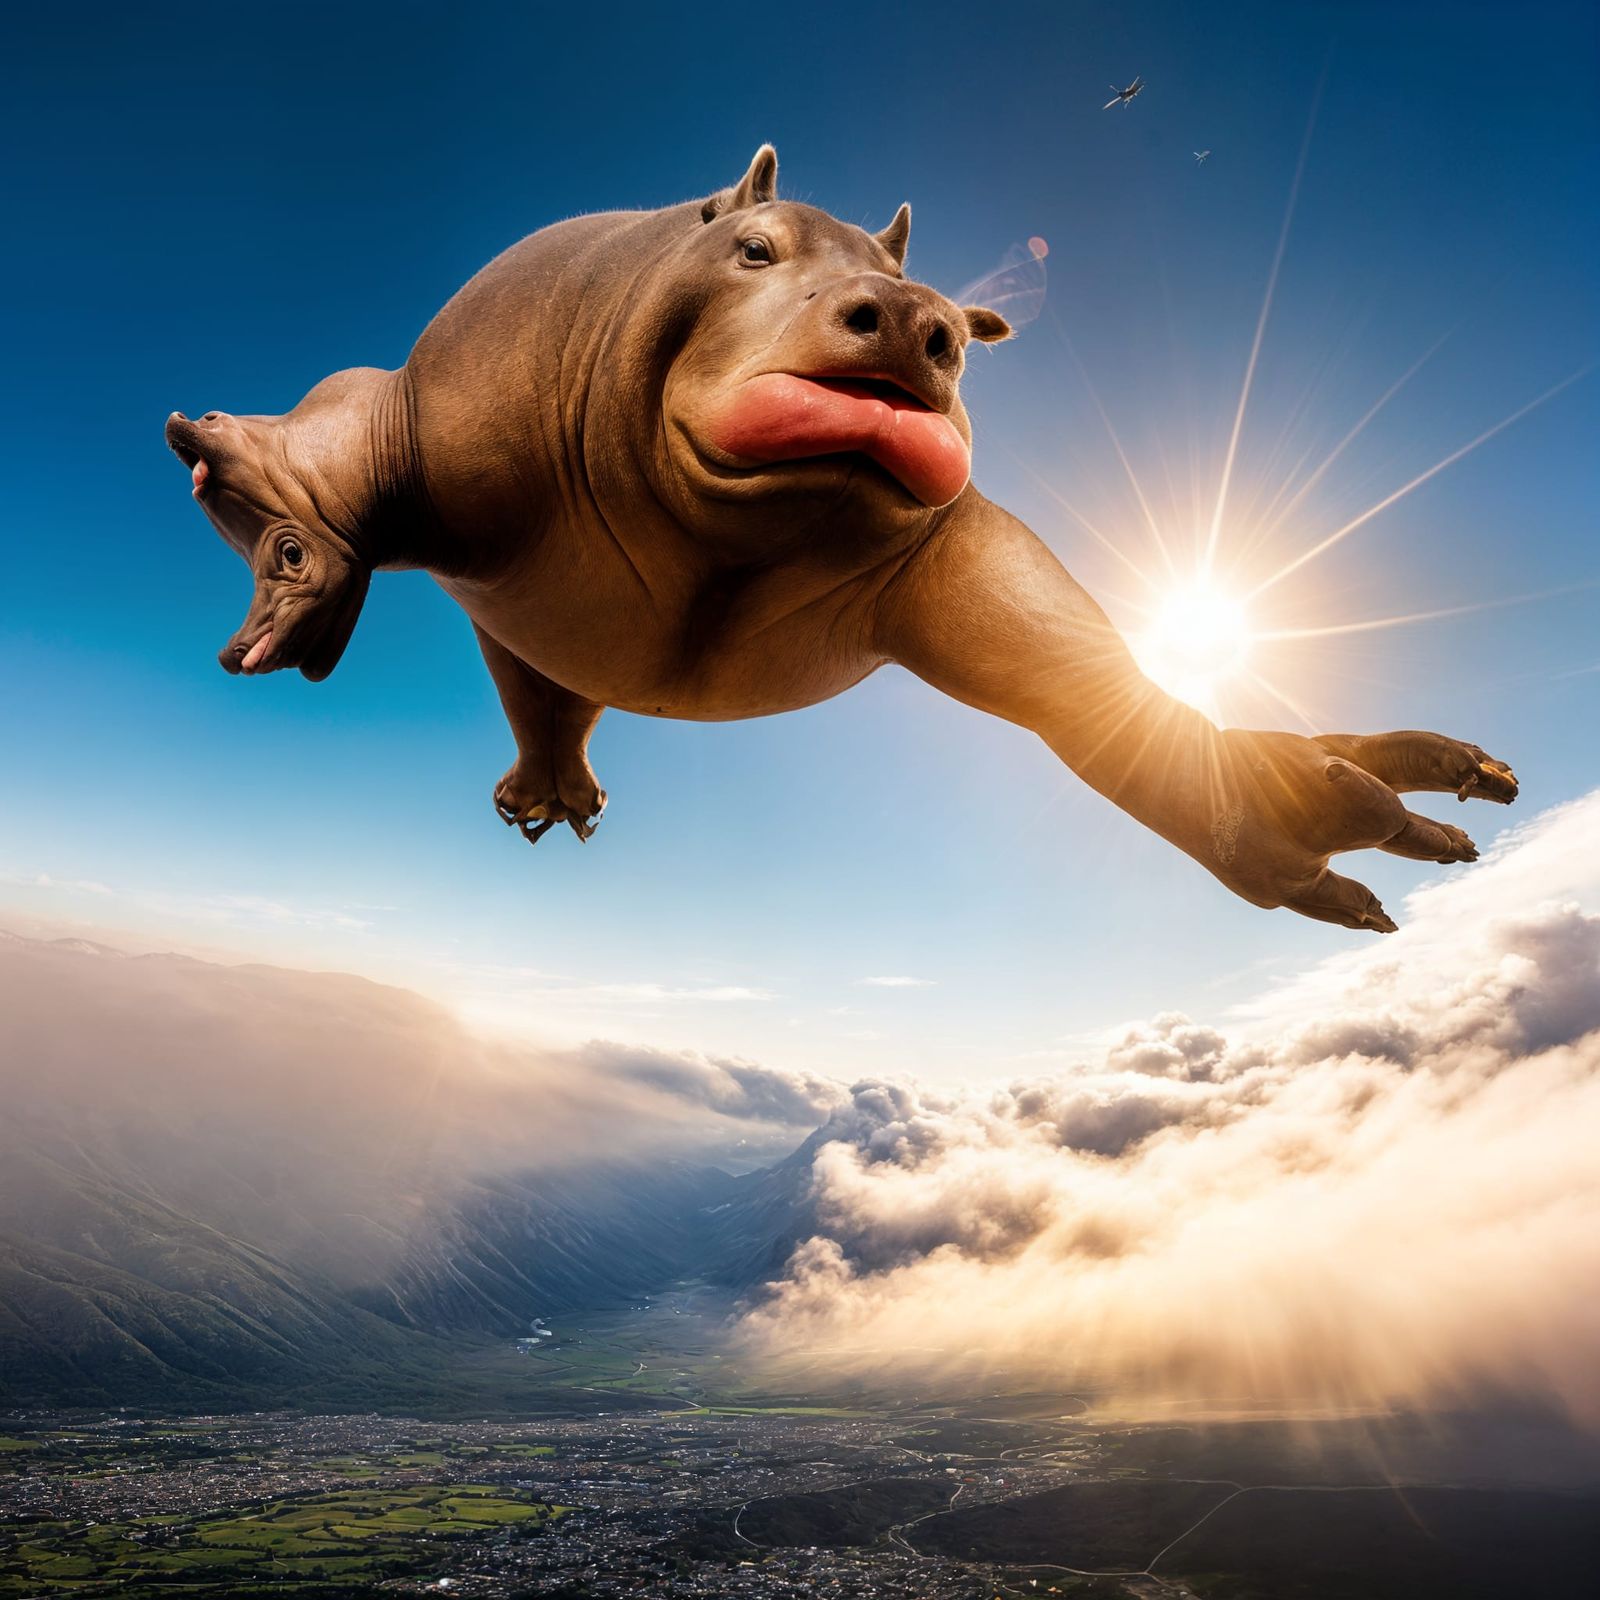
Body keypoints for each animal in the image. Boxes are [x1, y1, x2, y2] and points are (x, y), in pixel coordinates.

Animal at [166, 146, 1516, 932]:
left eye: (961, 318)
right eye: (750, 249)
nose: (922, 319)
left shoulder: (956, 562)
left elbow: (1103, 698)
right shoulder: (445, 459)